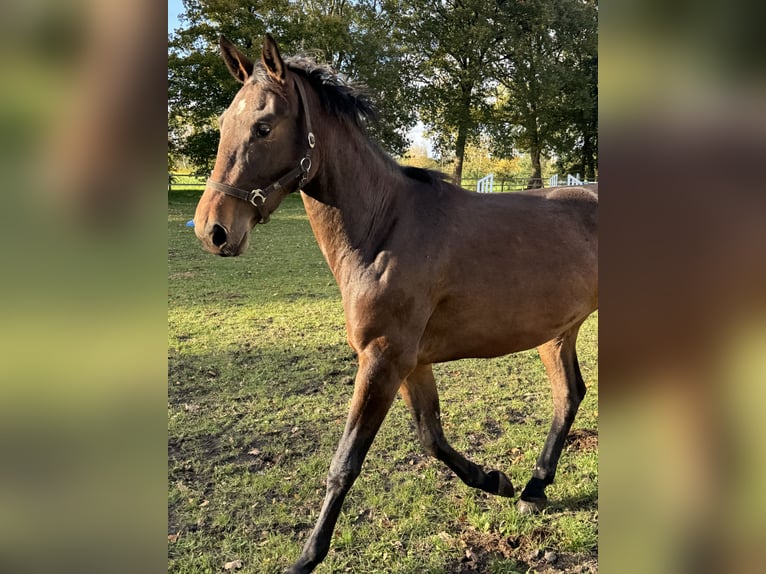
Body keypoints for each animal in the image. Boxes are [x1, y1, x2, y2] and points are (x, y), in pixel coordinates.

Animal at [194, 35, 600, 574]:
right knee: (569, 395)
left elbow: (345, 463)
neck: (383, 228)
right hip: (557, 332)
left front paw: (306, 556)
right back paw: (534, 488)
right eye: (223, 124)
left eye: (263, 126)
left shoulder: (383, 358)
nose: (213, 231)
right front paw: (494, 480)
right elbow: (432, 436)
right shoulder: (410, 361)